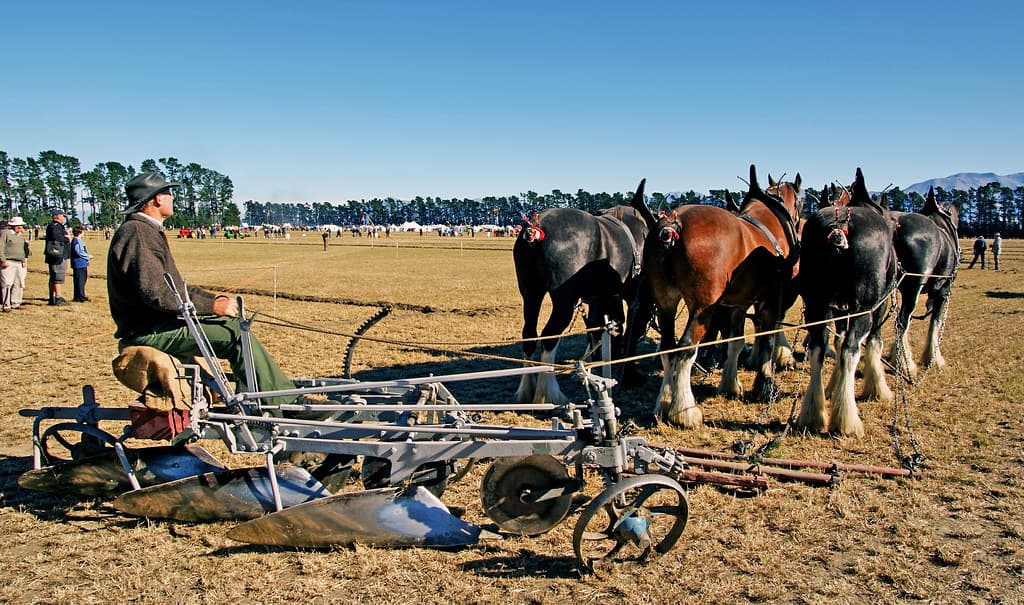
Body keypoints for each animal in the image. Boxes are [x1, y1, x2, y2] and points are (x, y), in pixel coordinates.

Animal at [513, 179, 649, 405]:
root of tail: (536, 229)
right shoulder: (632, 296)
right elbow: (628, 328)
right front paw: (629, 372)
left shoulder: (600, 297)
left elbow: (596, 329)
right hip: (563, 303)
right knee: (549, 337)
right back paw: (549, 394)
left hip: (531, 295)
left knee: (529, 336)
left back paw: (527, 390)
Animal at [629, 165, 801, 427]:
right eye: (800, 202)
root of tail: (672, 226)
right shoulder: (770, 300)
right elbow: (767, 341)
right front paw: (764, 387)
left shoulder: (737, 304)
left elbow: (735, 341)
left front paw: (730, 385)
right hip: (702, 309)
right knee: (685, 350)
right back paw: (684, 411)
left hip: (666, 303)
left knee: (668, 348)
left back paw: (664, 403)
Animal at [797, 168, 896, 437]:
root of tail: (841, 225)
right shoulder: (877, 306)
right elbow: (872, 341)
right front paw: (877, 388)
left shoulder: (837, 309)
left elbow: (837, 341)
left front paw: (832, 388)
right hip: (863, 307)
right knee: (852, 348)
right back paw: (846, 420)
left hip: (816, 304)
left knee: (818, 348)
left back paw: (812, 414)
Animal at [885, 187, 960, 376]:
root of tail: (895, 225)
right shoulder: (943, 292)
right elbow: (935, 322)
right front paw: (934, 359)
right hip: (915, 288)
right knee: (901, 321)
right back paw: (908, 367)